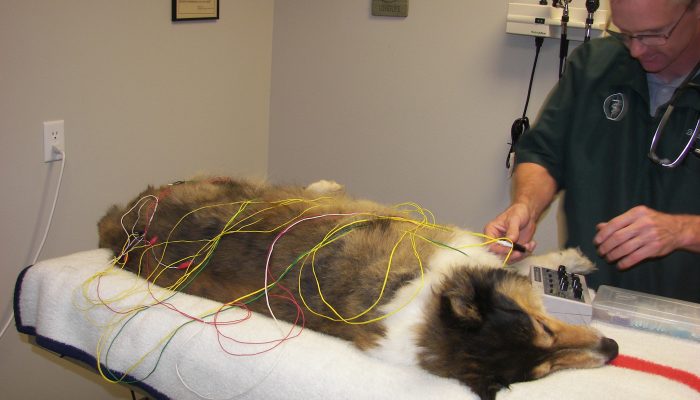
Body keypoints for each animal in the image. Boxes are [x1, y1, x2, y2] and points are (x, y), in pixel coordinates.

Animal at [97, 178, 616, 400]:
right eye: (543, 334)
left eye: (545, 362)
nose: (612, 349)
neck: (426, 311)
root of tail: (121, 228)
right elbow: (516, 255)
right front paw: (570, 258)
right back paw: (326, 184)